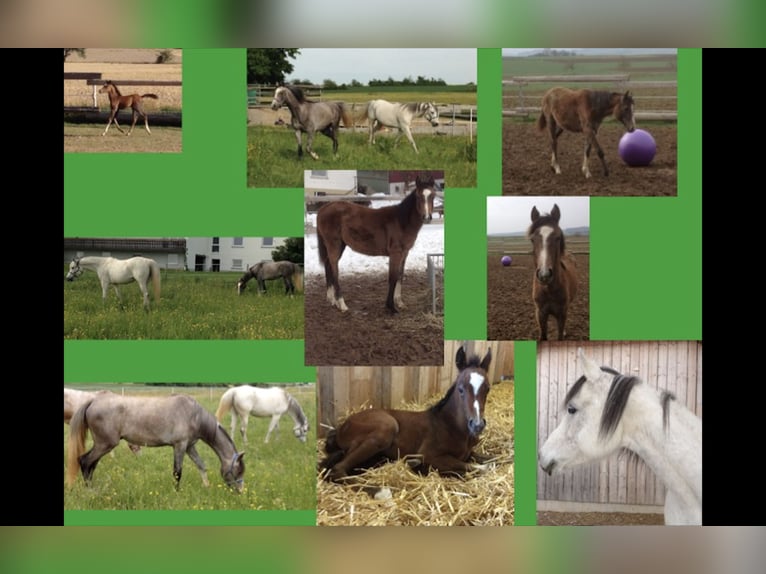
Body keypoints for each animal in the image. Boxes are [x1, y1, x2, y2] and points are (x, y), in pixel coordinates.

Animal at [67, 396, 246, 496]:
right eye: (238, 471)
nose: (240, 493)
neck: (194, 415)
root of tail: (93, 401)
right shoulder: (180, 446)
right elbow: (177, 472)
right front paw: (176, 493)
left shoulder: (189, 447)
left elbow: (201, 465)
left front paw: (207, 487)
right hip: (105, 444)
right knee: (85, 461)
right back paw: (90, 491)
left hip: (102, 445)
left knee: (91, 464)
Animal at [316, 173, 438, 316]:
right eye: (419, 196)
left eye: (433, 195)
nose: (427, 217)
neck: (401, 221)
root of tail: (324, 208)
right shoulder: (395, 253)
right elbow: (392, 278)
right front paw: (391, 307)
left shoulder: (404, 253)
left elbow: (400, 276)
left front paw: (399, 302)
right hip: (334, 245)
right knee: (334, 270)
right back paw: (342, 304)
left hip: (340, 245)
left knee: (328, 265)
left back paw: (331, 300)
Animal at [320, 344, 496, 484]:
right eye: (460, 389)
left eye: (487, 389)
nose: (477, 425)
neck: (451, 426)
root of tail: (341, 428)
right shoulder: (430, 455)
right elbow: (477, 468)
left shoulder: (470, 453)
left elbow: (492, 459)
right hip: (386, 427)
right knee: (337, 470)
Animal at [532, 205, 580, 342]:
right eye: (532, 239)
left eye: (558, 238)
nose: (544, 275)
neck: (549, 290)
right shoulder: (540, 313)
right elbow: (543, 336)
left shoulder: (562, 313)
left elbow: (560, 336)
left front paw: (562, 333)